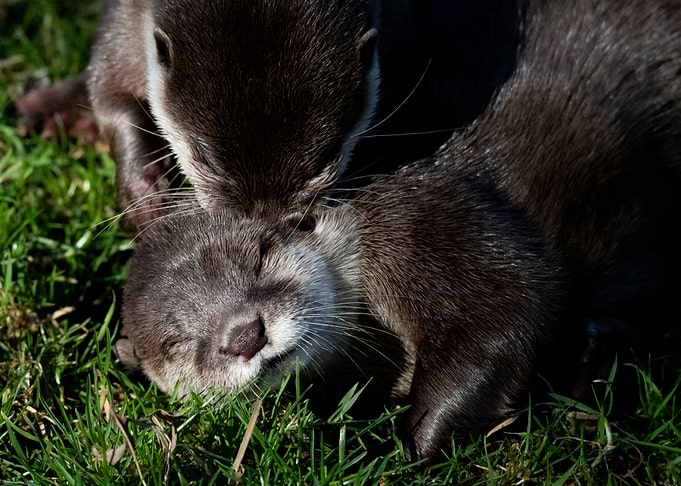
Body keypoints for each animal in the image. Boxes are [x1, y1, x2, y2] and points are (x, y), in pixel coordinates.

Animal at [119, 0, 681, 459]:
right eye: (177, 340)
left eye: (262, 251)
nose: (244, 335)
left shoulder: (424, 224)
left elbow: (512, 310)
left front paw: (410, 446)